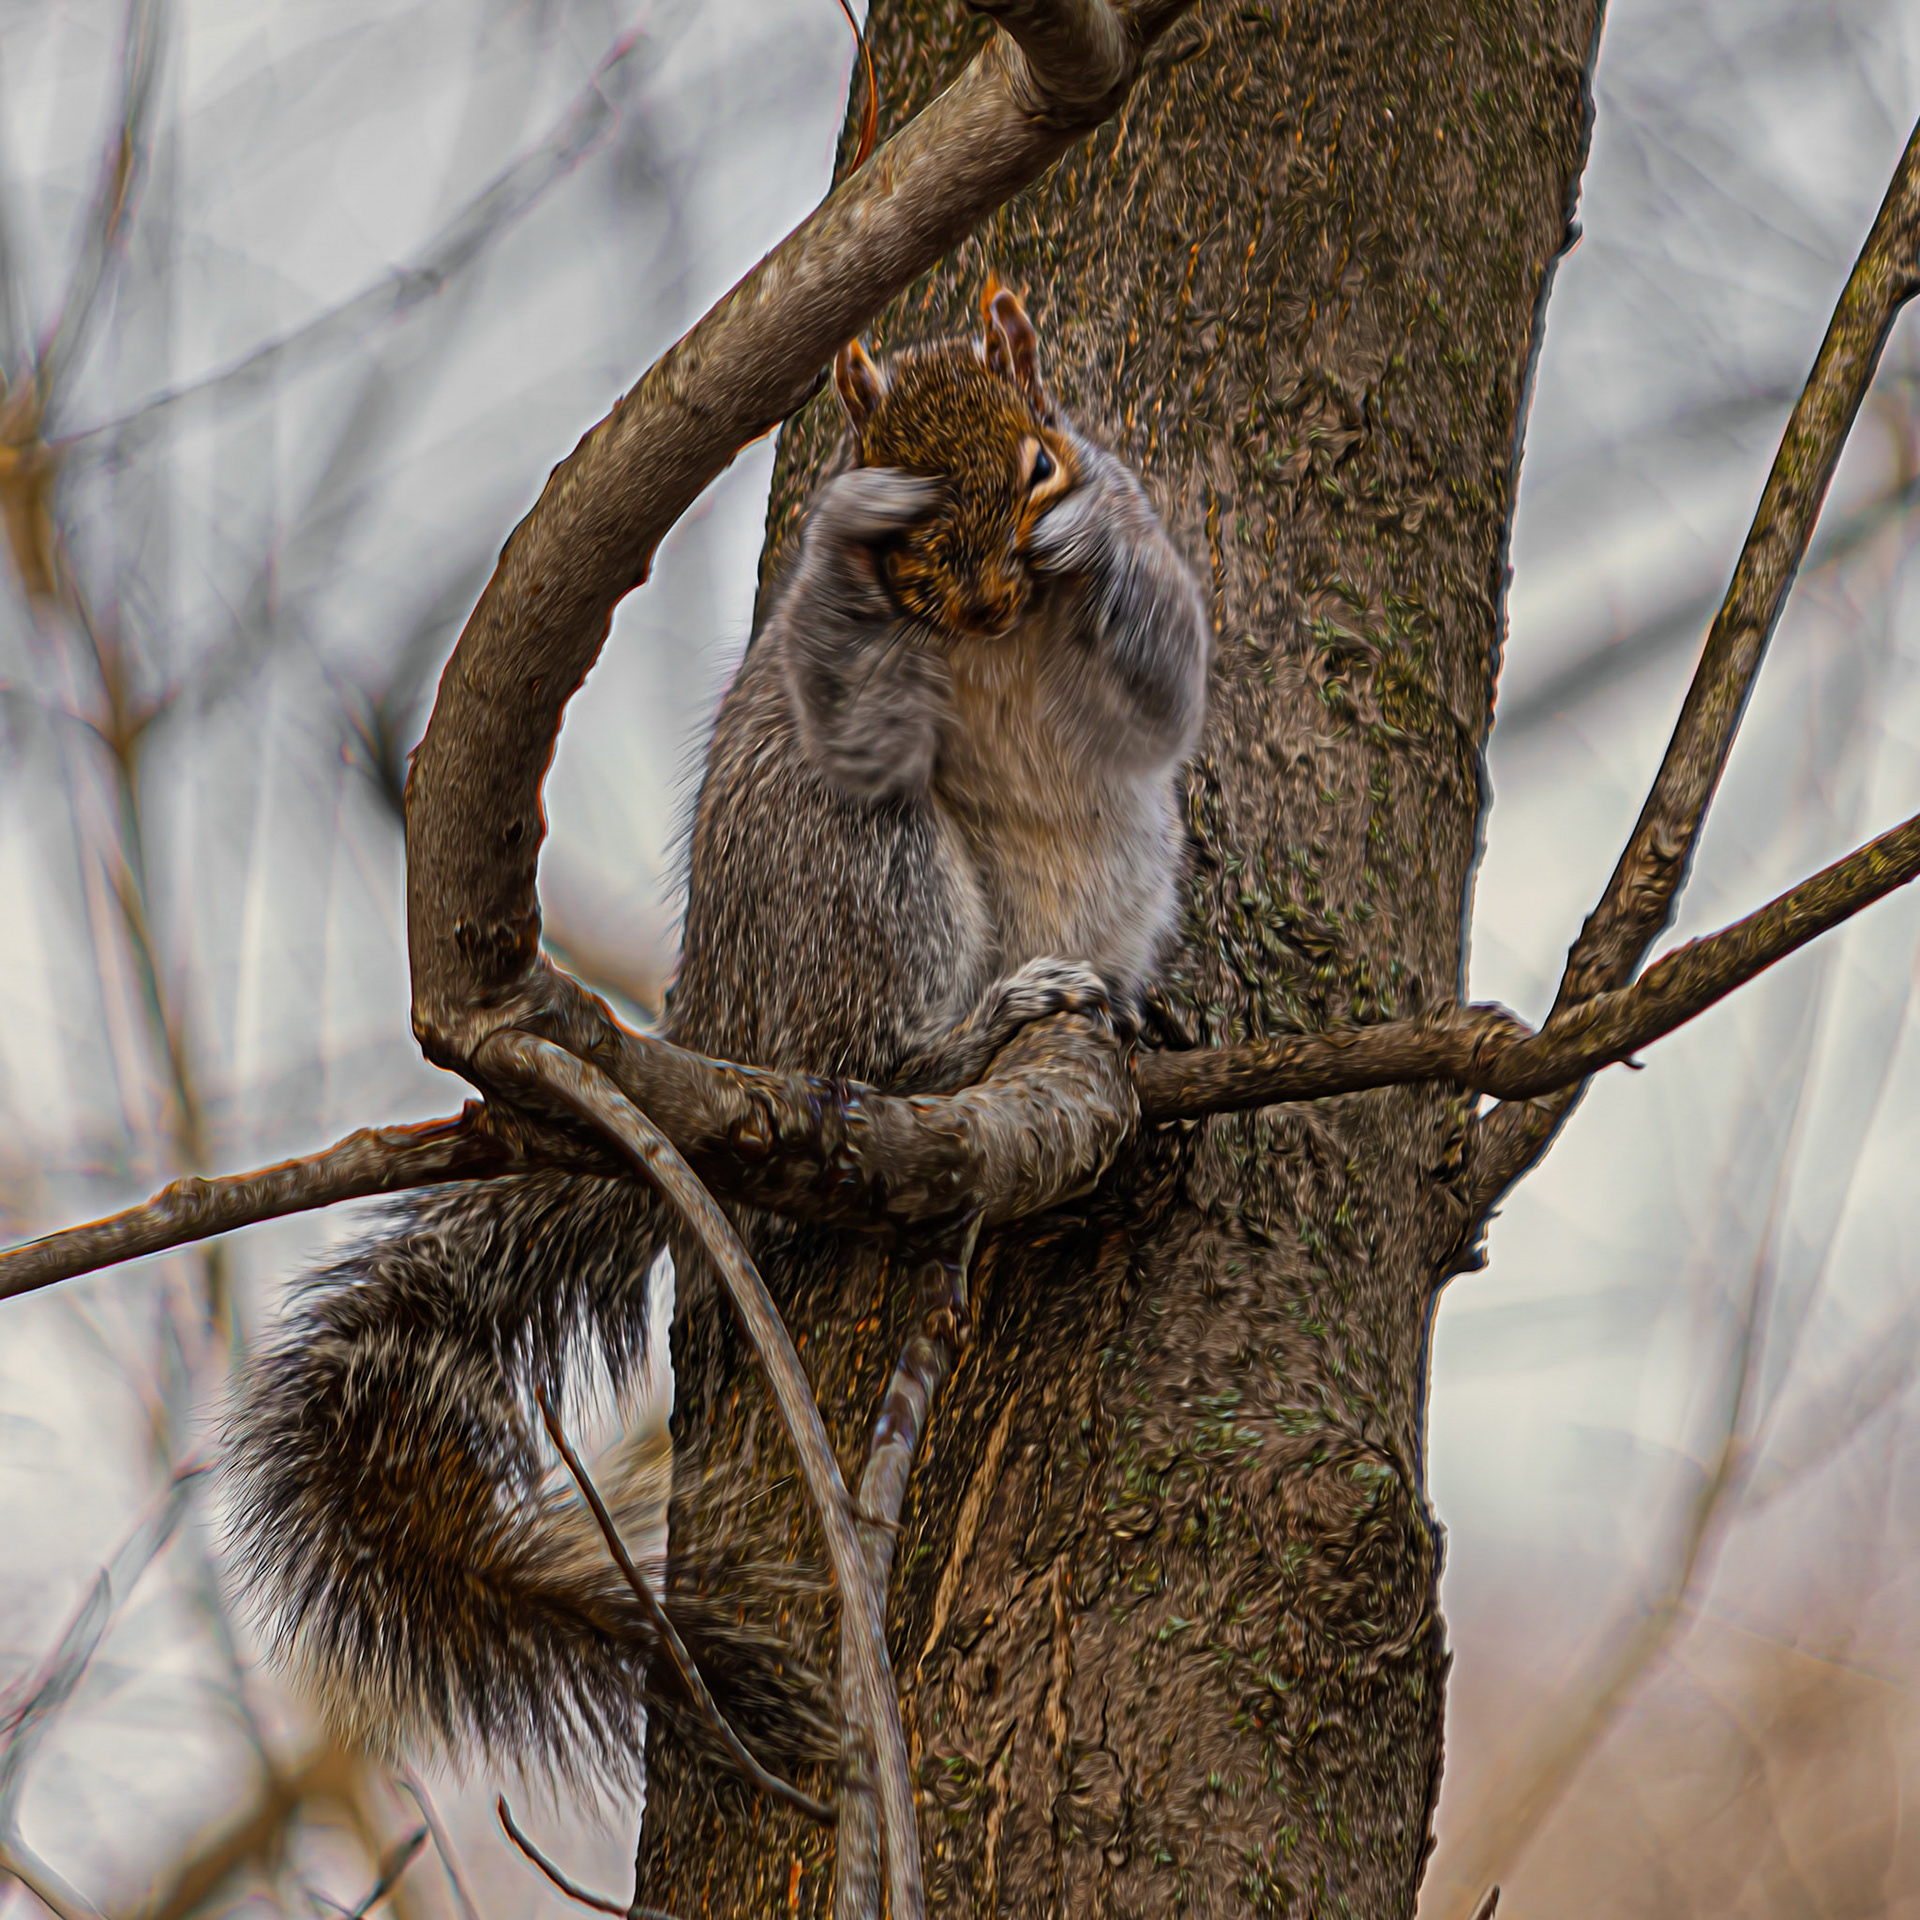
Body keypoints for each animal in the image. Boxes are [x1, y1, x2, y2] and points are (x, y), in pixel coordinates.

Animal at [224, 284, 1211, 1792]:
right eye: (899, 525)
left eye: (1039, 465)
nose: (993, 590)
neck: (992, 636)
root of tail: (723, 1018)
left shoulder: (1149, 593)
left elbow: (1171, 662)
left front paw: (1088, 539)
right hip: (854, 862)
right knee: (865, 1049)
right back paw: (974, 1027)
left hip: (1122, 856)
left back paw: (1116, 998)